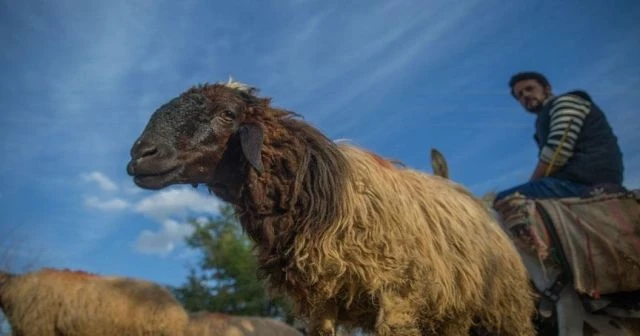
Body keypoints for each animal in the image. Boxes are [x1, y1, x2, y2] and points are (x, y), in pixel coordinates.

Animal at [125, 79, 536, 336]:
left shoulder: (398, 296)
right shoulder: (323, 299)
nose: (139, 155)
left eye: (227, 114)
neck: (324, 191)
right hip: (452, 312)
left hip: (505, 308)